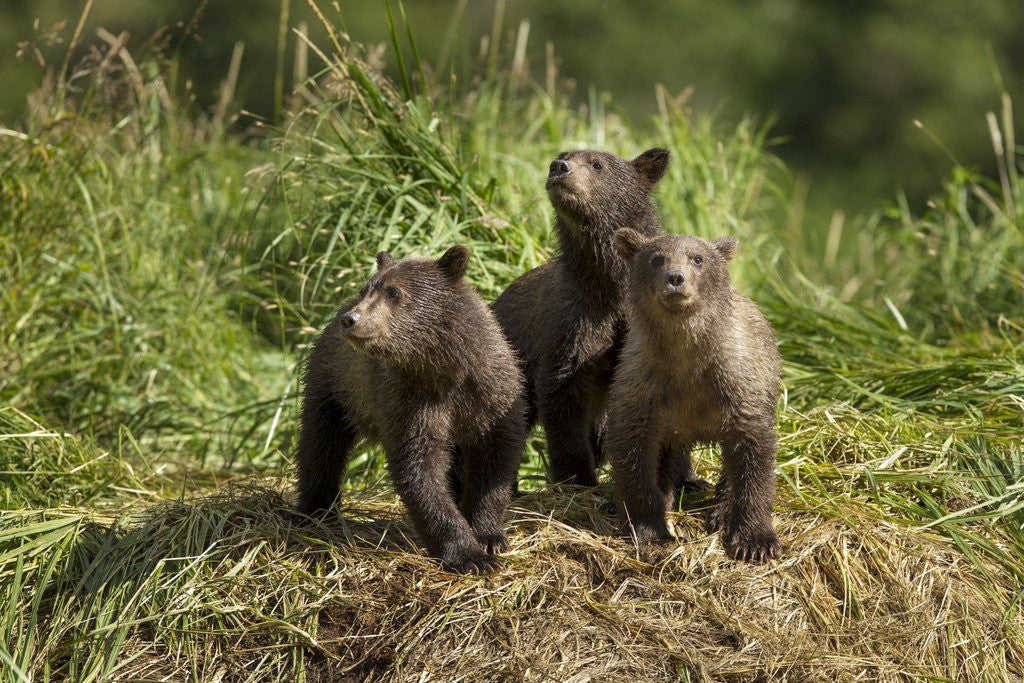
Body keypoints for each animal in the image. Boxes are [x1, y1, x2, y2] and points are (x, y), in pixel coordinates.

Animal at [295, 246, 527, 573]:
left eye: (394, 291)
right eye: (366, 288)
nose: (350, 319)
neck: (444, 369)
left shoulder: (492, 396)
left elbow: (496, 458)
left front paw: (488, 537)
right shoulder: (410, 401)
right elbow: (419, 467)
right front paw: (469, 555)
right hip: (336, 389)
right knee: (321, 445)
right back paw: (314, 510)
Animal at [492, 148, 670, 487]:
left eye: (597, 164)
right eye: (564, 154)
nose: (559, 167)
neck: (608, 281)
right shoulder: (572, 324)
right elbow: (563, 397)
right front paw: (577, 475)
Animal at [606, 229, 782, 562]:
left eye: (698, 258)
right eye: (656, 258)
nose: (675, 278)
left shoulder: (734, 384)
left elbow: (753, 453)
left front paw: (755, 541)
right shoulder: (642, 385)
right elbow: (634, 452)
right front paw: (648, 527)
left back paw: (721, 510)